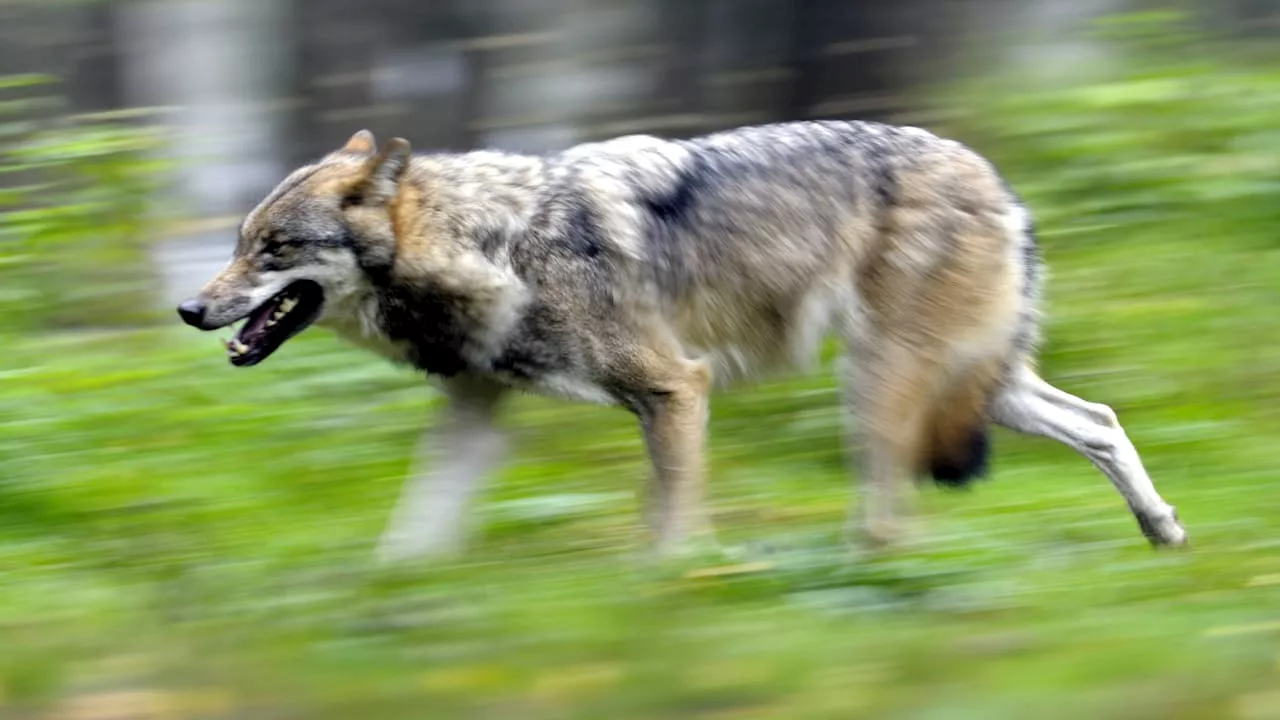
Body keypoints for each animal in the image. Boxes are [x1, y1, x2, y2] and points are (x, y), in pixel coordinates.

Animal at [175, 121, 1182, 561]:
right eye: (237, 244)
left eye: (273, 250)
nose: (188, 308)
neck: (498, 243)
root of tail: (998, 182)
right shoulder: (475, 416)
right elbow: (410, 536)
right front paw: (386, 607)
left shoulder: (675, 389)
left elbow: (673, 526)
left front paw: (675, 598)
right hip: (976, 387)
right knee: (1100, 419)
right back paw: (1162, 532)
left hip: (883, 386)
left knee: (894, 506)